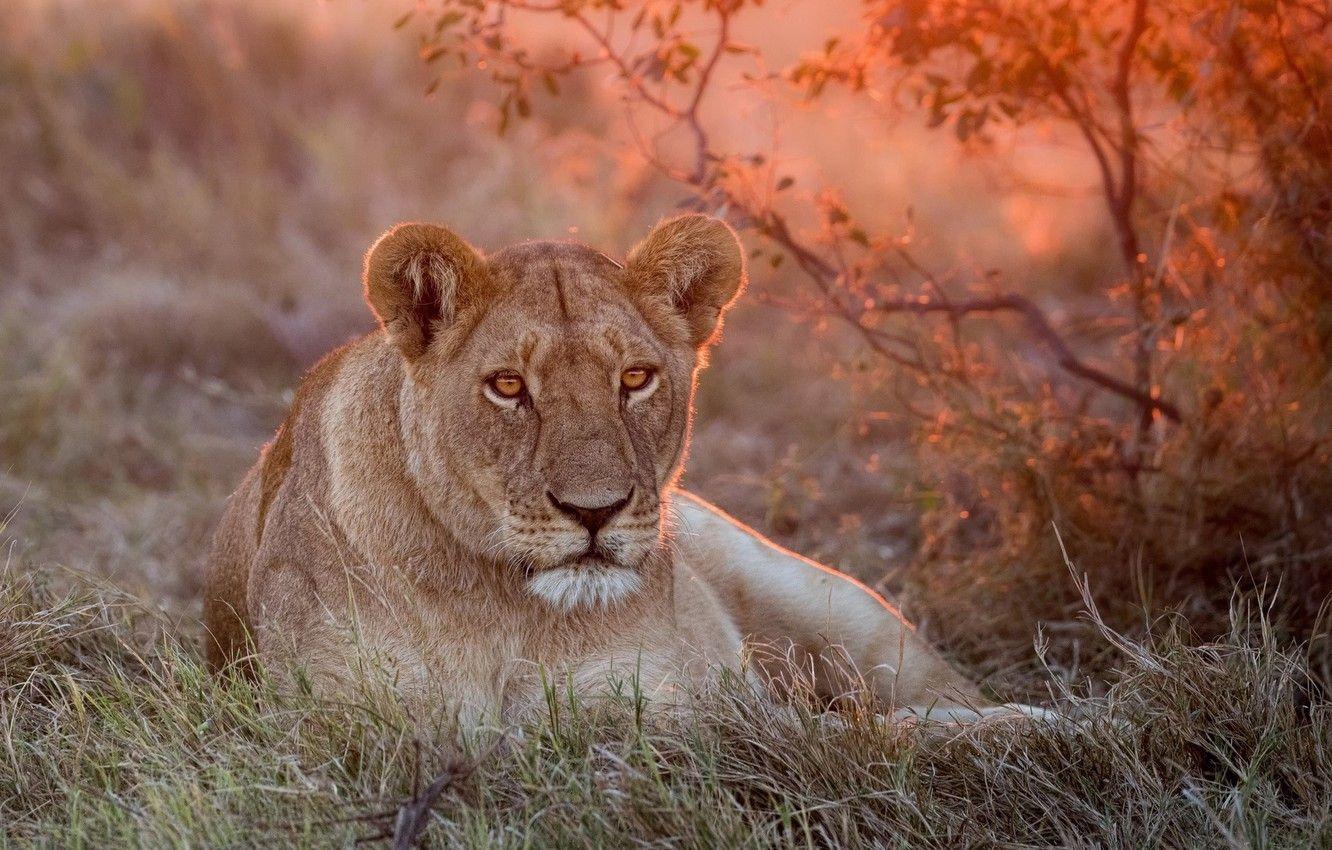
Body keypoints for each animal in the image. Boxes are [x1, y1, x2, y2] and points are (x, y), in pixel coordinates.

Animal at [202, 214, 1036, 728]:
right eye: (508, 385)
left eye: (635, 378)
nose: (594, 511)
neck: (510, 611)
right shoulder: (348, 721)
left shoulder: (682, 706)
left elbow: (865, 735)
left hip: (832, 605)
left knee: (931, 696)